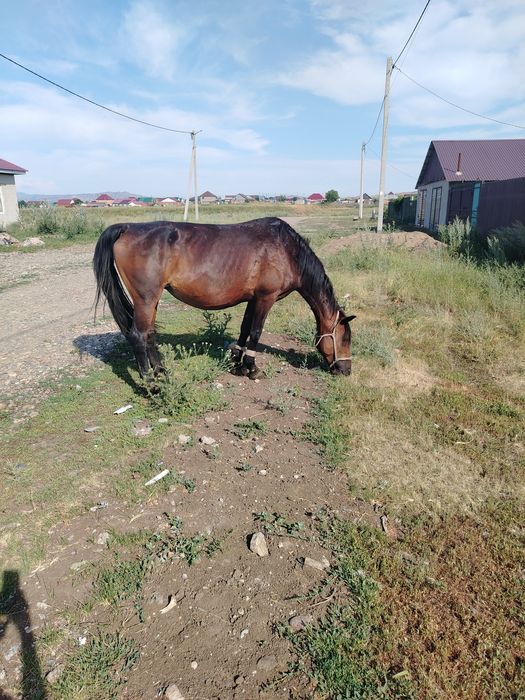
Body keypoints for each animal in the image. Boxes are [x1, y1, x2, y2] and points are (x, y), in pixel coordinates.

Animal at [93, 217, 355, 380]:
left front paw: (238, 364)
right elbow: (256, 332)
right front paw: (252, 368)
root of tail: (127, 227)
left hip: (151, 300)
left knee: (149, 333)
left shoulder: (252, 298)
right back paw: (149, 381)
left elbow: (244, 329)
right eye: (345, 339)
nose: (346, 370)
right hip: (145, 299)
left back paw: (161, 371)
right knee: (138, 335)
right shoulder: (266, 298)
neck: (287, 250)